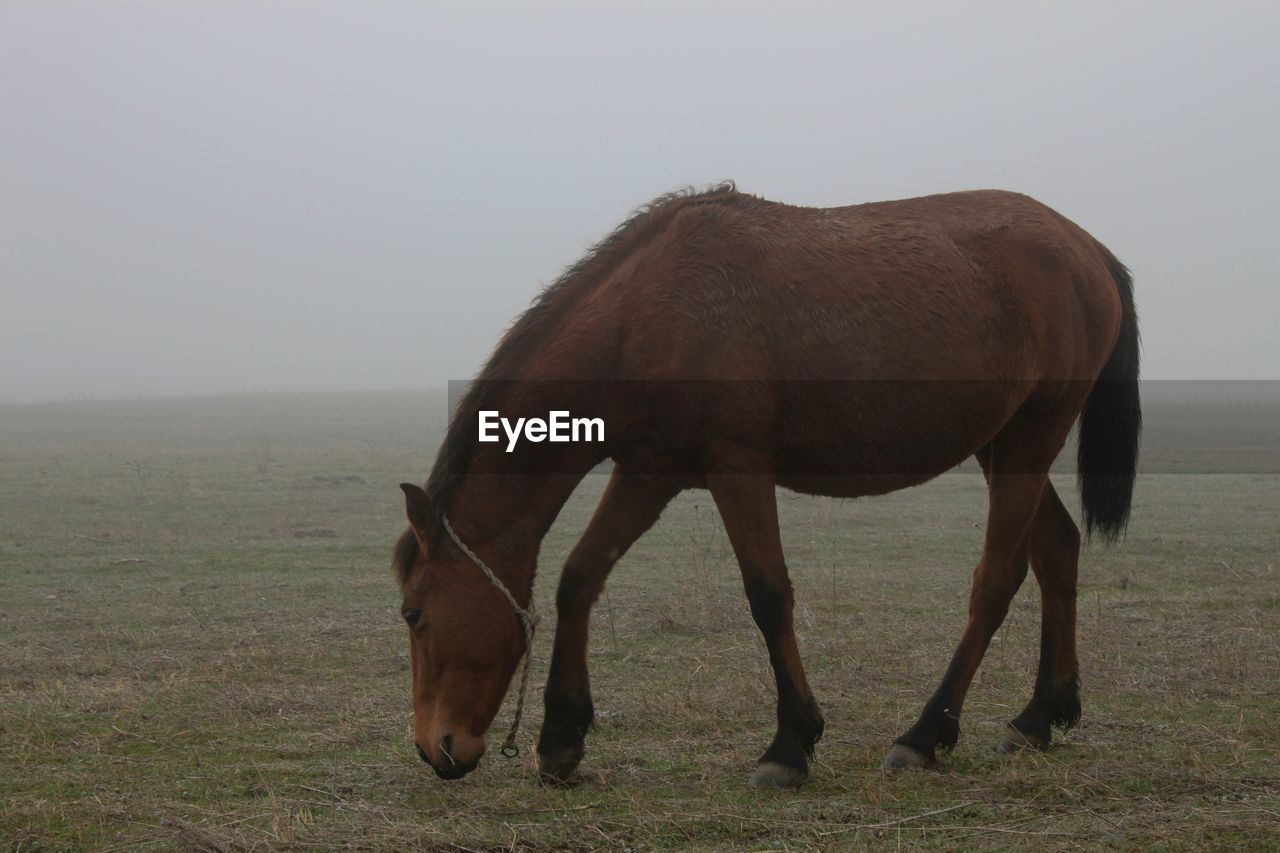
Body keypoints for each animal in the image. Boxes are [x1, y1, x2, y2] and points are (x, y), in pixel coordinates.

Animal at [391, 184, 1141, 783]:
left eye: (413, 613)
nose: (436, 748)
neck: (643, 312)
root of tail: (1089, 249)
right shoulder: (648, 473)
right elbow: (579, 578)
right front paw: (560, 740)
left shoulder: (738, 469)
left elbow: (768, 595)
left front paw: (790, 744)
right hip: (1003, 444)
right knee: (1057, 550)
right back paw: (1041, 716)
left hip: (1029, 439)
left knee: (997, 580)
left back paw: (924, 736)